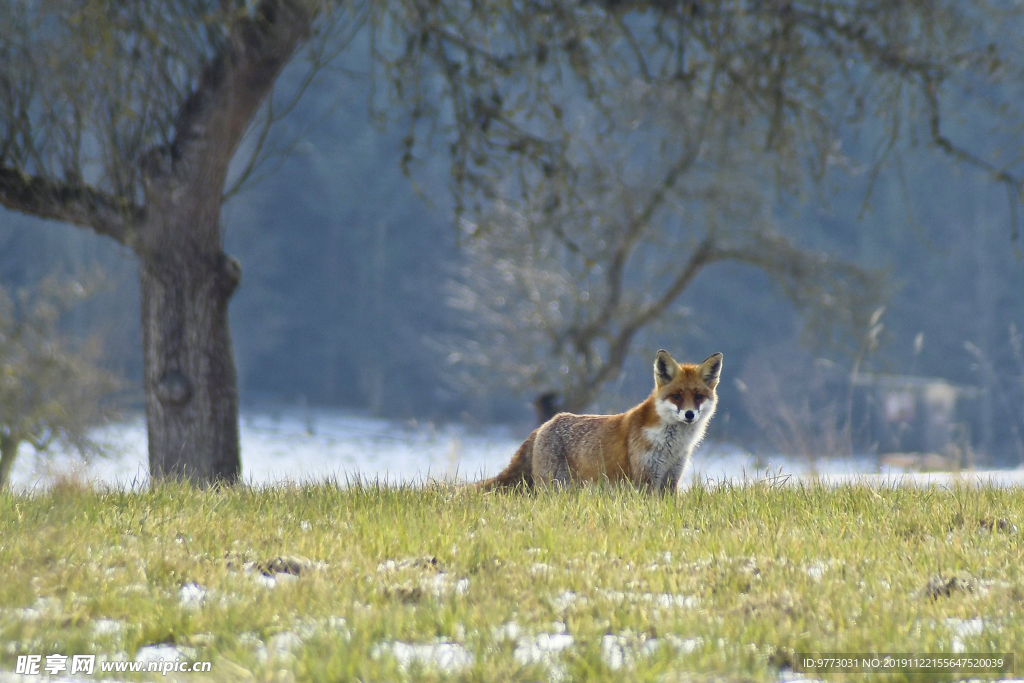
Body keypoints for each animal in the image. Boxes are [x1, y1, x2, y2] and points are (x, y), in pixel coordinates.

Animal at [477, 352, 720, 491]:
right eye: (676, 396)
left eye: (698, 396)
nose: (689, 414)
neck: (672, 445)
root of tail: (544, 425)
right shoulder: (646, 478)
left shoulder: (671, 479)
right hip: (557, 489)